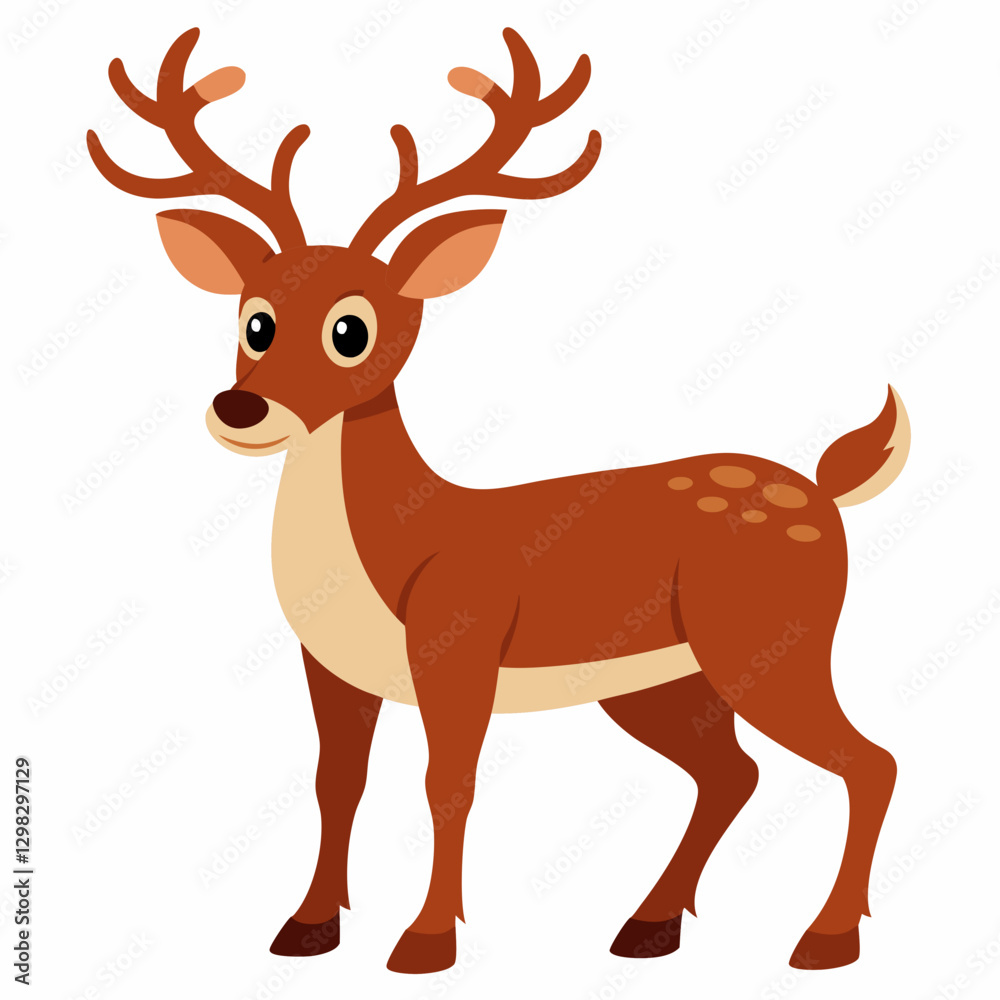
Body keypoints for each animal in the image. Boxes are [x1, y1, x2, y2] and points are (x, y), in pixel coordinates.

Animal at [88, 26, 907, 976]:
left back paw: (826, 938)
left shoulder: (461, 639)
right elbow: (337, 782)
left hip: (771, 641)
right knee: (733, 773)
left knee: (869, 760)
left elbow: (448, 782)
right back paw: (649, 926)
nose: (240, 408)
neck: (389, 553)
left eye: (351, 328)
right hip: (659, 680)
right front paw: (307, 927)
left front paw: (426, 940)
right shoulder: (330, 663)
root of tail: (825, 491)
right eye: (253, 320)